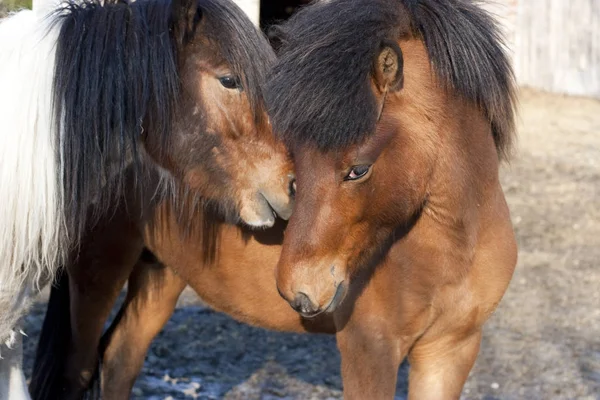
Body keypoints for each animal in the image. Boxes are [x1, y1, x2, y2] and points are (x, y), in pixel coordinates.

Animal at [34, 0, 520, 398]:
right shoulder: (370, 349)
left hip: (160, 274)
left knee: (120, 359)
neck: (455, 245)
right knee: (78, 371)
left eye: (358, 168)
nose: (297, 290)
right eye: (298, 158)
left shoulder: (449, 352)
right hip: (97, 271)